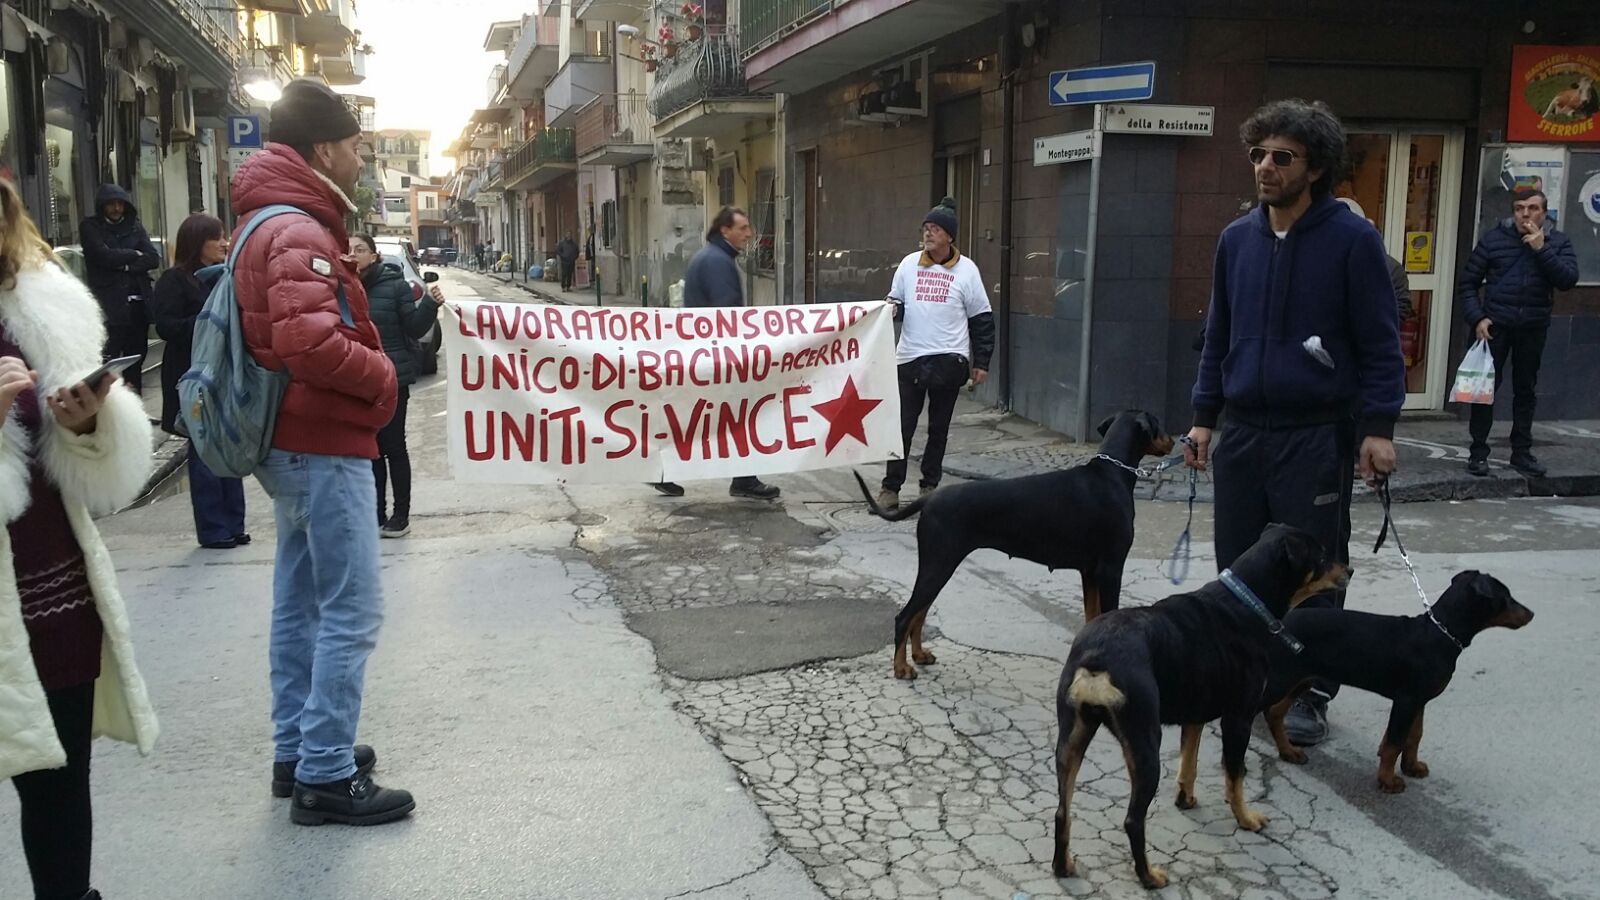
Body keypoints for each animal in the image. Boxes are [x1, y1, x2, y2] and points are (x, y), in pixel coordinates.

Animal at [851, 409, 1177, 675]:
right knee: (905, 616)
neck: (1112, 475)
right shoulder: (1111, 568)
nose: (1175, 441)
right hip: (939, 563)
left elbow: (1092, 615)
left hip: (938, 565)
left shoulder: (1089, 571)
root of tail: (929, 499)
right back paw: (902, 668)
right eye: (1158, 424)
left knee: (919, 613)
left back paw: (919, 655)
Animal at [1049, 522, 1350, 883]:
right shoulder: (1238, 718)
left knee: (1062, 811)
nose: (1349, 570)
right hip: (1144, 742)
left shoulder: (1195, 715)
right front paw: (1246, 819)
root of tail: (1097, 659)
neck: (1247, 603)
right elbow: (1234, 777)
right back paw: (1149, 877)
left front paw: (1186, 798)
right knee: (1133, 820)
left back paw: (1063, 866)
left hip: (1072, 738)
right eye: (1321, 555)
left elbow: (1188, 763)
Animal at [1260, 570, 1536, 787]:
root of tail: (1279, 622)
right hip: (1281, 678)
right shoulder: (1406, 700)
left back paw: (1288, 752)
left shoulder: (1419, 701)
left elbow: (1413, 736)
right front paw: (1387, 780)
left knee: (1275, 713)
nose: (1532, 614)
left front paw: (1412, 767)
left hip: (1300, 680)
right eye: (1505, 597)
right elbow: (1395, 742)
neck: (1441, 633)